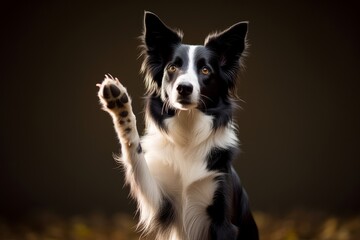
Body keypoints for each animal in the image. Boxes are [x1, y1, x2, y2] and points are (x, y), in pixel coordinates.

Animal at [97, 10, 258, 239]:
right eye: (172, 67)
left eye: (205, 70)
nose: (184, 88)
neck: (188, 129)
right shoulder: (161, 203)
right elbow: (136, 157)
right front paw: (120, 107)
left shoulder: (224, 221)